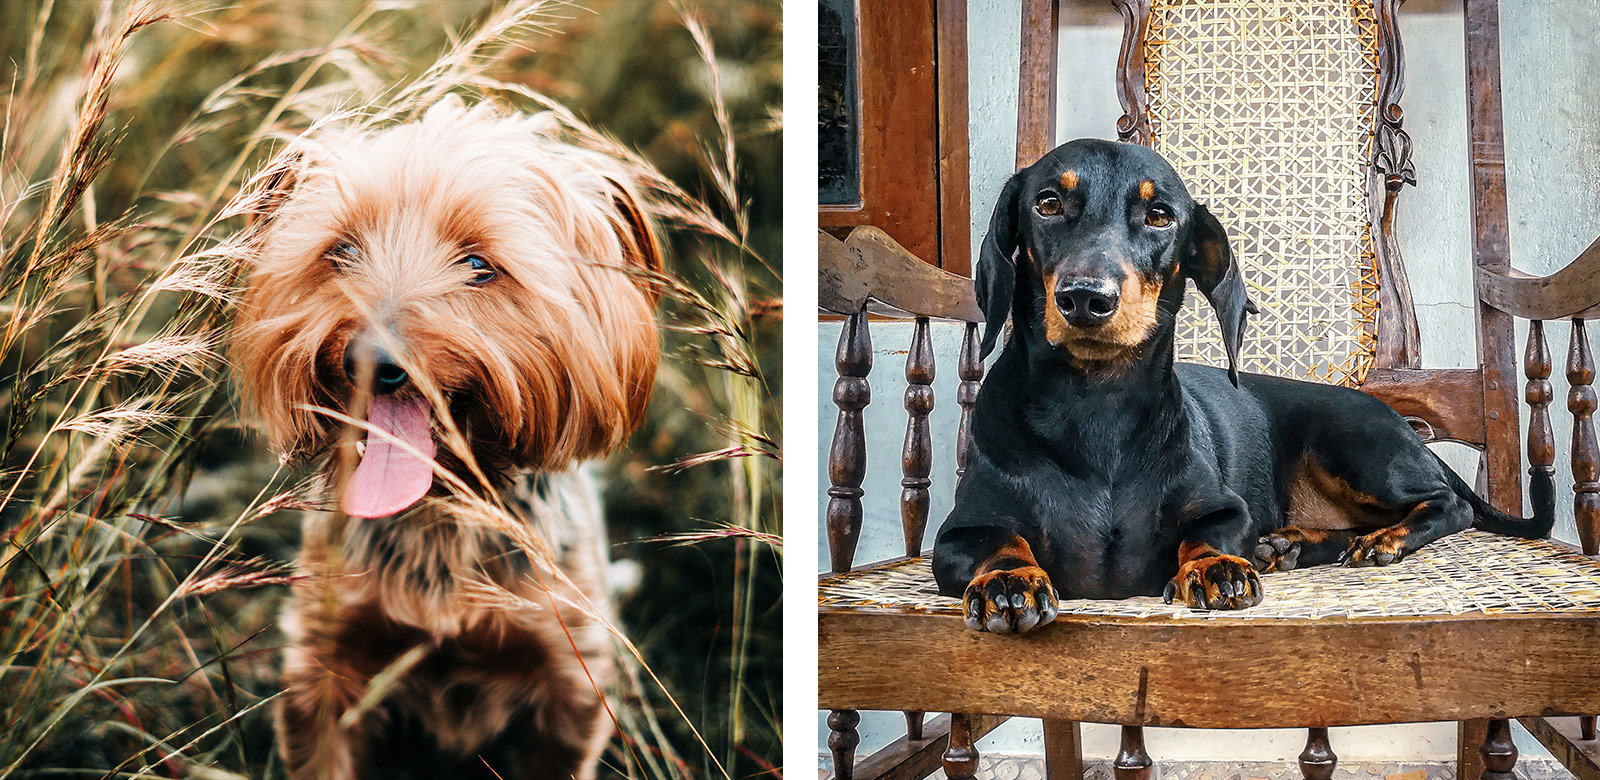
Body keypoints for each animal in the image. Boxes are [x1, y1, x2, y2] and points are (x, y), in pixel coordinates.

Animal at [232, 97, 662, 780]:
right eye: (341, 251)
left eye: (479, 265)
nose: (370, 360)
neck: (439, 511)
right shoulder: (325, 664)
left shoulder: (567, 678)